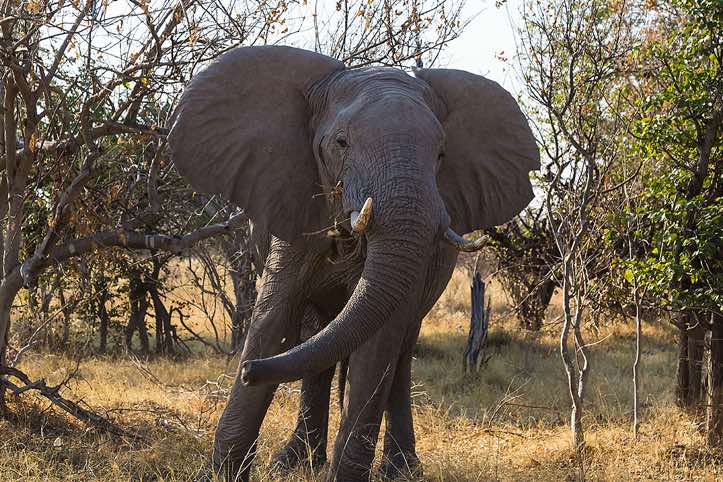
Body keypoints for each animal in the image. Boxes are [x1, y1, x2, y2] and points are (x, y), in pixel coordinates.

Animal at [168, 45, 539, 481]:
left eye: (442, 154)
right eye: (341, 142)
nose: (247, 371)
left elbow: (377, 340)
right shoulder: (294, 207)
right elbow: (273, 320)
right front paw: (224, 471)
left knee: (398, 351)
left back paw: (399, 470)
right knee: (317, 336)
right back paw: (295, 461)